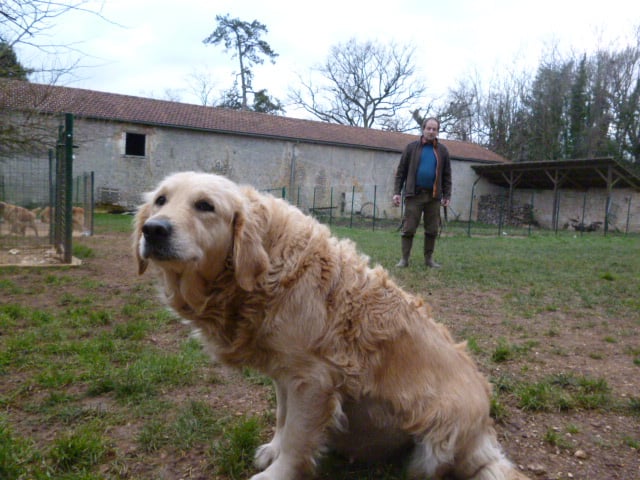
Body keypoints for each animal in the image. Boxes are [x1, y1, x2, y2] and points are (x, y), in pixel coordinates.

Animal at [131, 172, 528, 480]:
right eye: (161, 200)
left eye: (205, 206)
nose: (153, 229)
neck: (266, 267)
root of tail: (485, 436)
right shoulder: (285, 374)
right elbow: (283, 419)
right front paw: (273, 448)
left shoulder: (314, 380)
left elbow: (297, 438)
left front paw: (277, 471)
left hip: (437, 441)